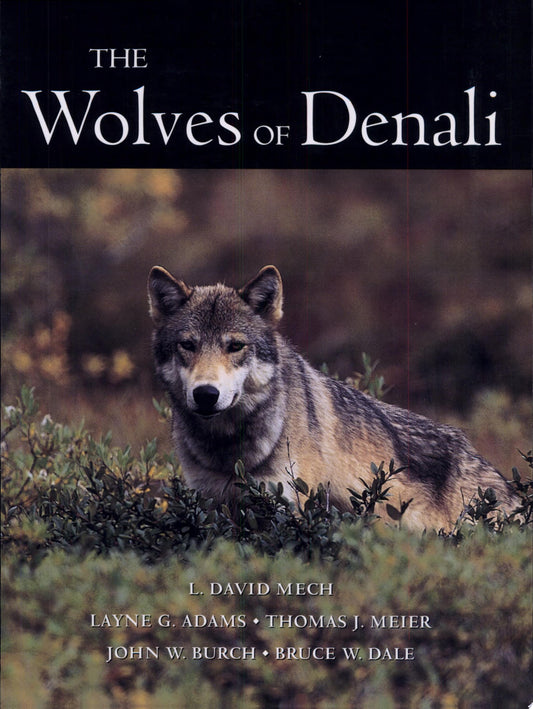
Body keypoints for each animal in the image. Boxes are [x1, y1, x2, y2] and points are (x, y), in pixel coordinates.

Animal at [148, 264, 518, 531]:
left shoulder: (293, 512)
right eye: (188, 345)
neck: (228, 450)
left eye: (235, 346)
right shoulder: (210, 508)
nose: (206, 394)